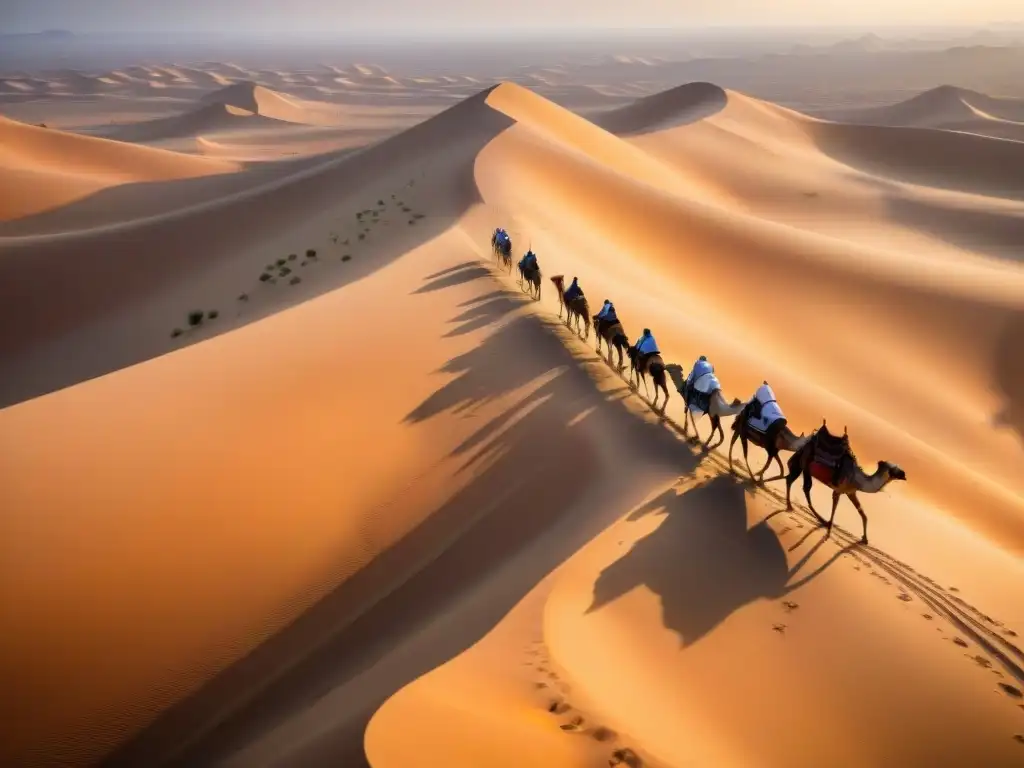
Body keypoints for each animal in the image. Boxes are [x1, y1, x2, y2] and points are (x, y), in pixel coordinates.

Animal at [782, 421, 913, 548]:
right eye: (894, 469)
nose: (904, 475)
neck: (856, 478)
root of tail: (807, 443)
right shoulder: (838, 490)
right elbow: (834, 508)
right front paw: (828, 533)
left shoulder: (851, 492)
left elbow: (863, 514)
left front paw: (864, 539)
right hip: (804, 463)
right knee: (800, 484)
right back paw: (794, 508)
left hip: (803, 466)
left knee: (796, 483)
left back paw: (817, 518)